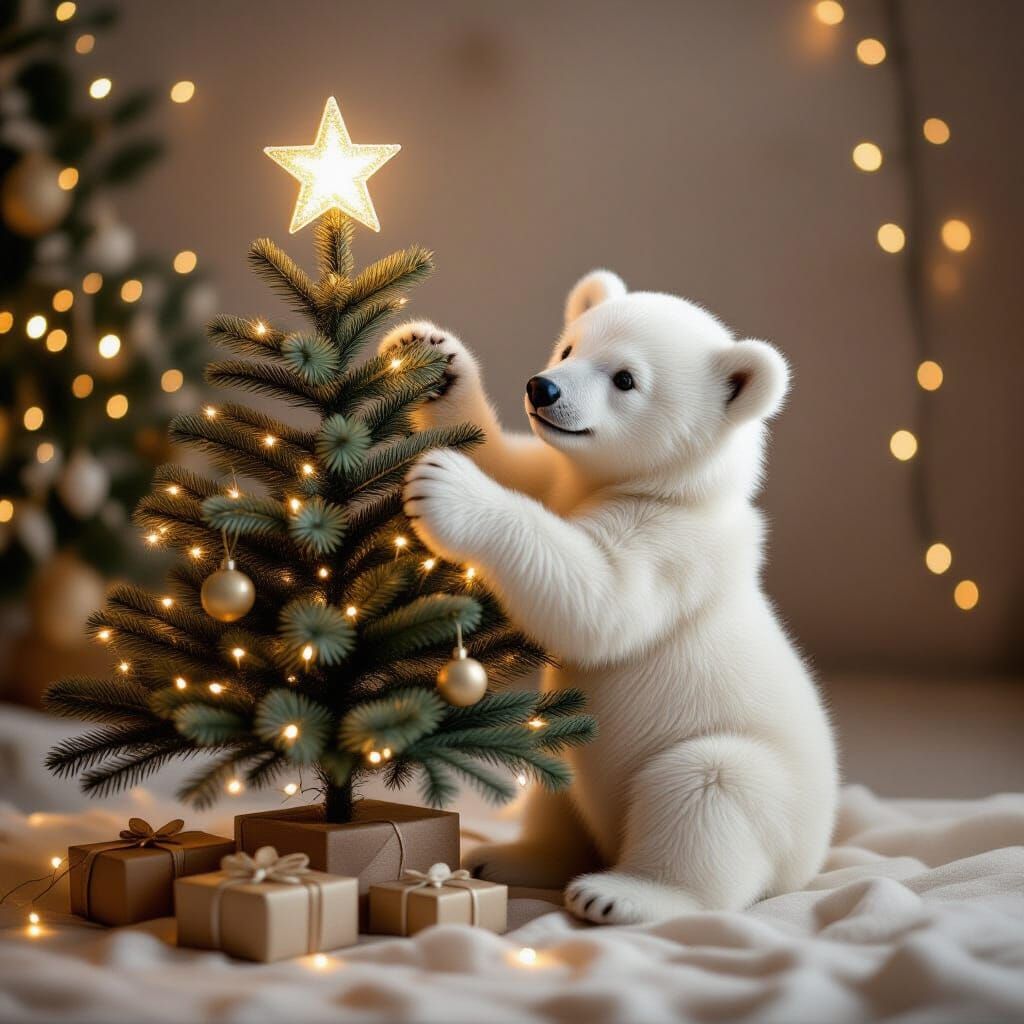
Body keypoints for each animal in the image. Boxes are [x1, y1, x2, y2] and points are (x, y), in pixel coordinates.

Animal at [380, 269, 839, 926]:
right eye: (570, 347)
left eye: (625, 378)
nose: (542, 388)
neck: (671, 490)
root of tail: (811, 858)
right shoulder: (563, 479)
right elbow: (512, 463)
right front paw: (432, 357)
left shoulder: (671, 546)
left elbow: (600, 601)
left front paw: (447, 488)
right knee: (555, 785)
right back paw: (513, 857)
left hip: (755, 782)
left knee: (705, 791)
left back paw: (621, 892)